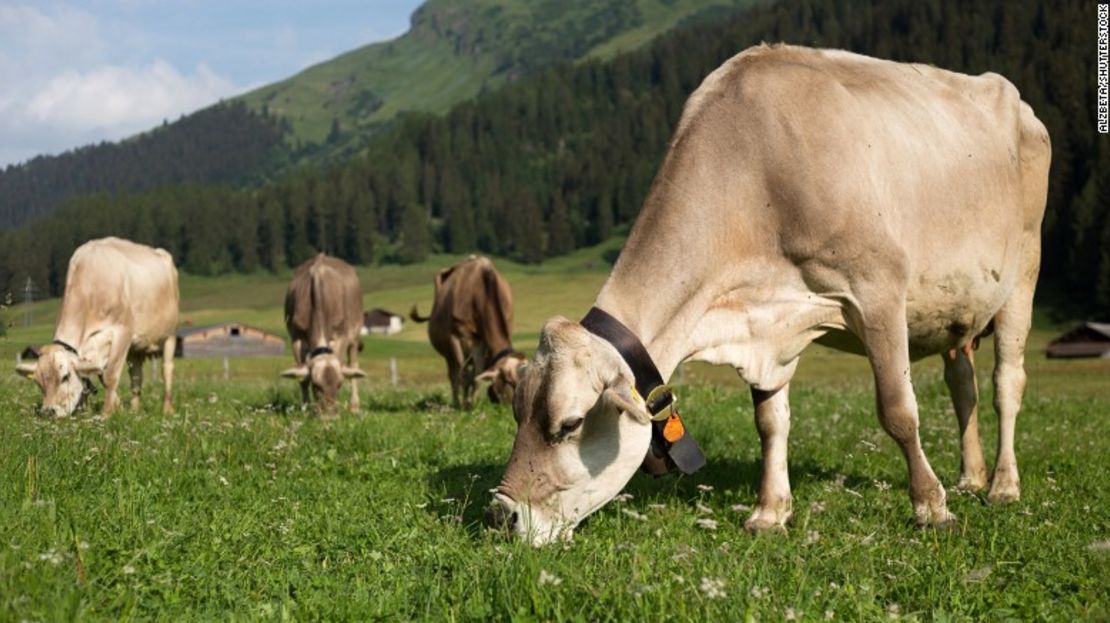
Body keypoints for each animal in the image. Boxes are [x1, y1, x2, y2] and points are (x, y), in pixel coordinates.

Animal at [15, 237, 178, 417]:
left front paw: (107, 413)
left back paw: (167, 409)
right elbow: (101, 375)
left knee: (166, 370)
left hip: (170, 335)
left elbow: (110, 376)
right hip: (136, 348)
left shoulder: (123, 332)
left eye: (65, 377)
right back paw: (134, 410)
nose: (48, 412)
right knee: (136, 376)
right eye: (38, 382)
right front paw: (119, 408)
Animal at [279, 253, 366, 413]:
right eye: (316, 385)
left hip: (355, 335)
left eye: (339, 384)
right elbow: (302, 378)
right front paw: (306, 408)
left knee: (353, 366)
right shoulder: (296, 338)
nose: (329, 415)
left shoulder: (341, 336)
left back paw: (354, 406)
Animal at [410, 254, 526, 408]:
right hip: (448, 352)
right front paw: (465, 405)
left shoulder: (481, 342)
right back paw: (456, 402)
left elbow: (477, 374)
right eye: (508, 382)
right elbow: (463, 376)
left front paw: (472, 402)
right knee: (454, 375)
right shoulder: (455, 338)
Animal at [486, 44, 1047, 544]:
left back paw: (1002, 486)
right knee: (962, 384)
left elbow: (898, 410)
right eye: (515, 411)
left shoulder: (879, 290)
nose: (502, 516)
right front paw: (770, 511)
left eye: (570, 423)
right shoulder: (768, 326)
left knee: (1006, 383)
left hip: (1023, 272)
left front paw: (930, 506)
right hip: (957, 313)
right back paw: (971, 476)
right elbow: (770, 422)